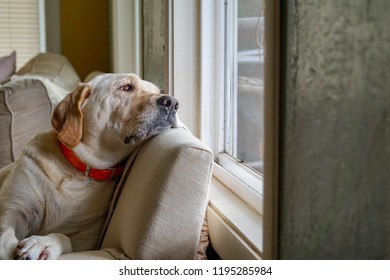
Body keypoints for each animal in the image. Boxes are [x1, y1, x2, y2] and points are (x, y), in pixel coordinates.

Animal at [0, 73, 181, 260]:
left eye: (157, 91)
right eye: (126, 87)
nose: (173, 102)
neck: (80, 171)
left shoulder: (85, 242)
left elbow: (63, 237)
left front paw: (43, 243)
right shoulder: (15, 209)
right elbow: (5, 234)